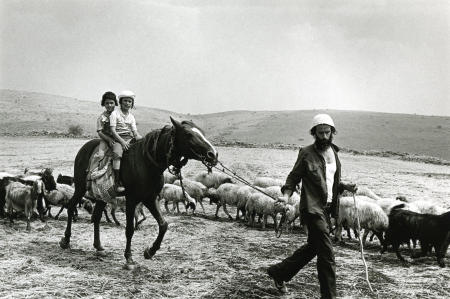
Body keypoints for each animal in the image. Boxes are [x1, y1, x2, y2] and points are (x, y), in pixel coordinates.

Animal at [59, 117, 218, 270]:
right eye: (188, 134)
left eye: (202, 132)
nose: (213, 154)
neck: (147, 162)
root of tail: (85, 148)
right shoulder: (132, 200)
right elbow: (129, 229)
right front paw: (129, 259)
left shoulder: (150, 199)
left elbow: (163, 225)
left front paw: (150, 251)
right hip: (80, 188)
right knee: (71, 206)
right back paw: (66, 240)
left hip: (102, 195)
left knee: (96, 216)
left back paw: (98, 247)